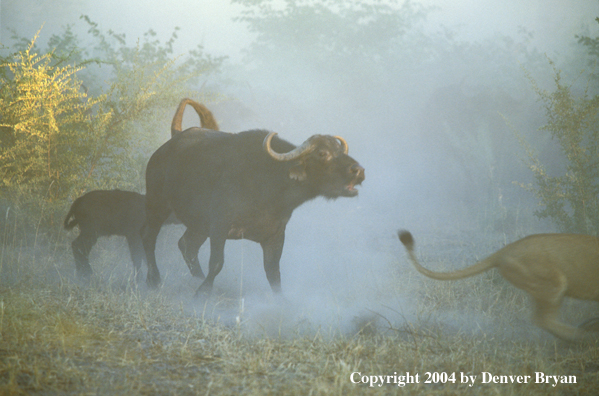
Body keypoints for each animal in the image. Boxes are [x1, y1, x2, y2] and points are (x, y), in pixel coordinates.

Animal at [142, 120, 366, 296]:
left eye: (341, 150)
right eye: (322, 153)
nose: (358, 170)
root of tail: (161, 152)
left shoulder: (276, 234)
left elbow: (273, 272)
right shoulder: (219, 226)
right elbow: (217, 262)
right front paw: (203, 293)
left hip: (198, 225)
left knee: (187, 245)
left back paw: (196, 278)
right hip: (156, 204)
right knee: (150, 240)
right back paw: (153, 278)